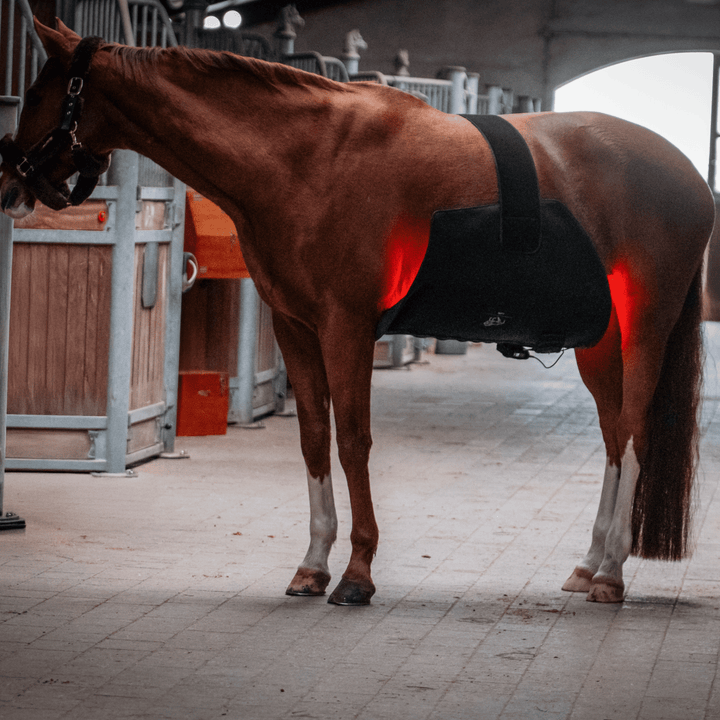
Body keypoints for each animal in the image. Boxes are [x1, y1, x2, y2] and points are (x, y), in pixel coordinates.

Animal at [0, 19, 714, 606]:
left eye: (38, 91)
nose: (10, 185)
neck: (309, 158)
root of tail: (687, 174)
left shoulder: (345, 326)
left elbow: (353, 440)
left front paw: (357, 574)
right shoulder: (294, 327)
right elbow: (315, 437)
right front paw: (312, 565)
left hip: (643, 330)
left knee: (634, 433)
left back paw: (613, 574)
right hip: (601, 342)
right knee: (614, 437)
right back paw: (589, 566)